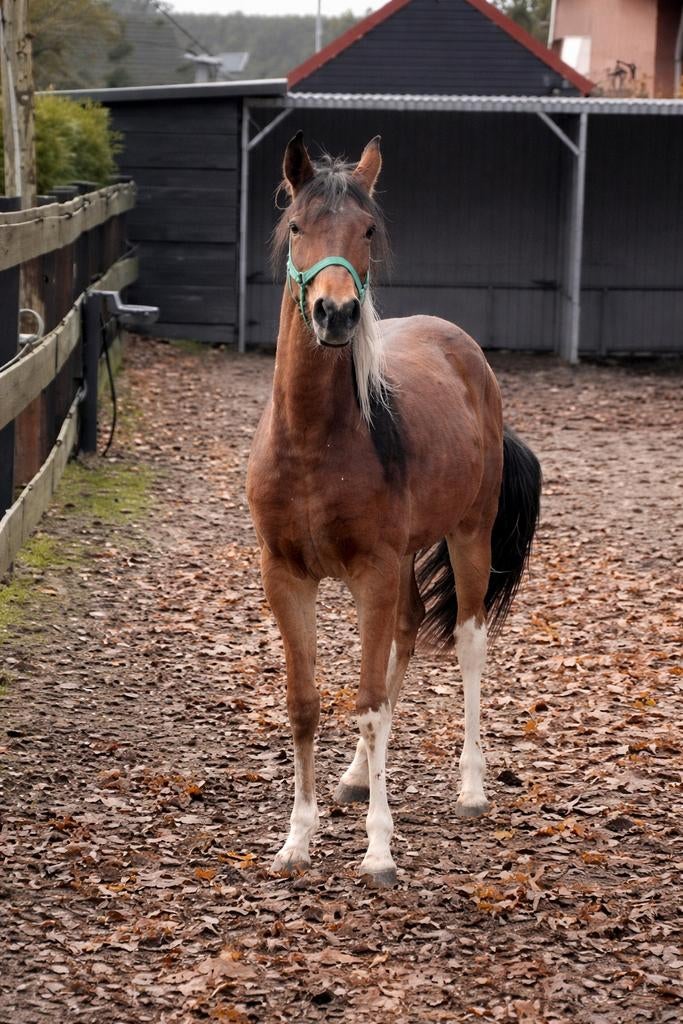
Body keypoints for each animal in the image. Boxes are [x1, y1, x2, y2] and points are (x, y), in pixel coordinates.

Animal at [246, 132, 541, 886]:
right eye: (298, 227)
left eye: (367, 231)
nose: (337, 313)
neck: (314, 441)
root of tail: (465, 351)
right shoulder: (285, 576)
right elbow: (306, 702)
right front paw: (296, 839)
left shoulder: (371, 573)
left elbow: (371, 703)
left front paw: (378, 849)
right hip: (408, 559)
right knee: (406, 638)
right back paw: (356, 777)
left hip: (468, 539)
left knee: (467, 643)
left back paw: (471, 788)